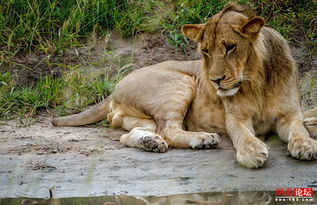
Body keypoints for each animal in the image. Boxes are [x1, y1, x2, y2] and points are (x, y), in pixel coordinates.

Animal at [51, 2, 316, 168]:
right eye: (205, 51)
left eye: (230, 47)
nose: (214, 81)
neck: (257, 80)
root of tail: (115, 86)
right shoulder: (236, 118)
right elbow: (243, 135)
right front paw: (251, 152)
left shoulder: (290, 114)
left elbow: (299, 129)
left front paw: (306, 145)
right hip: (180, 83)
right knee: (169, 130)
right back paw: (203, 139)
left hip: (141, 116)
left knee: (133, 135)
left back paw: (151, 143)